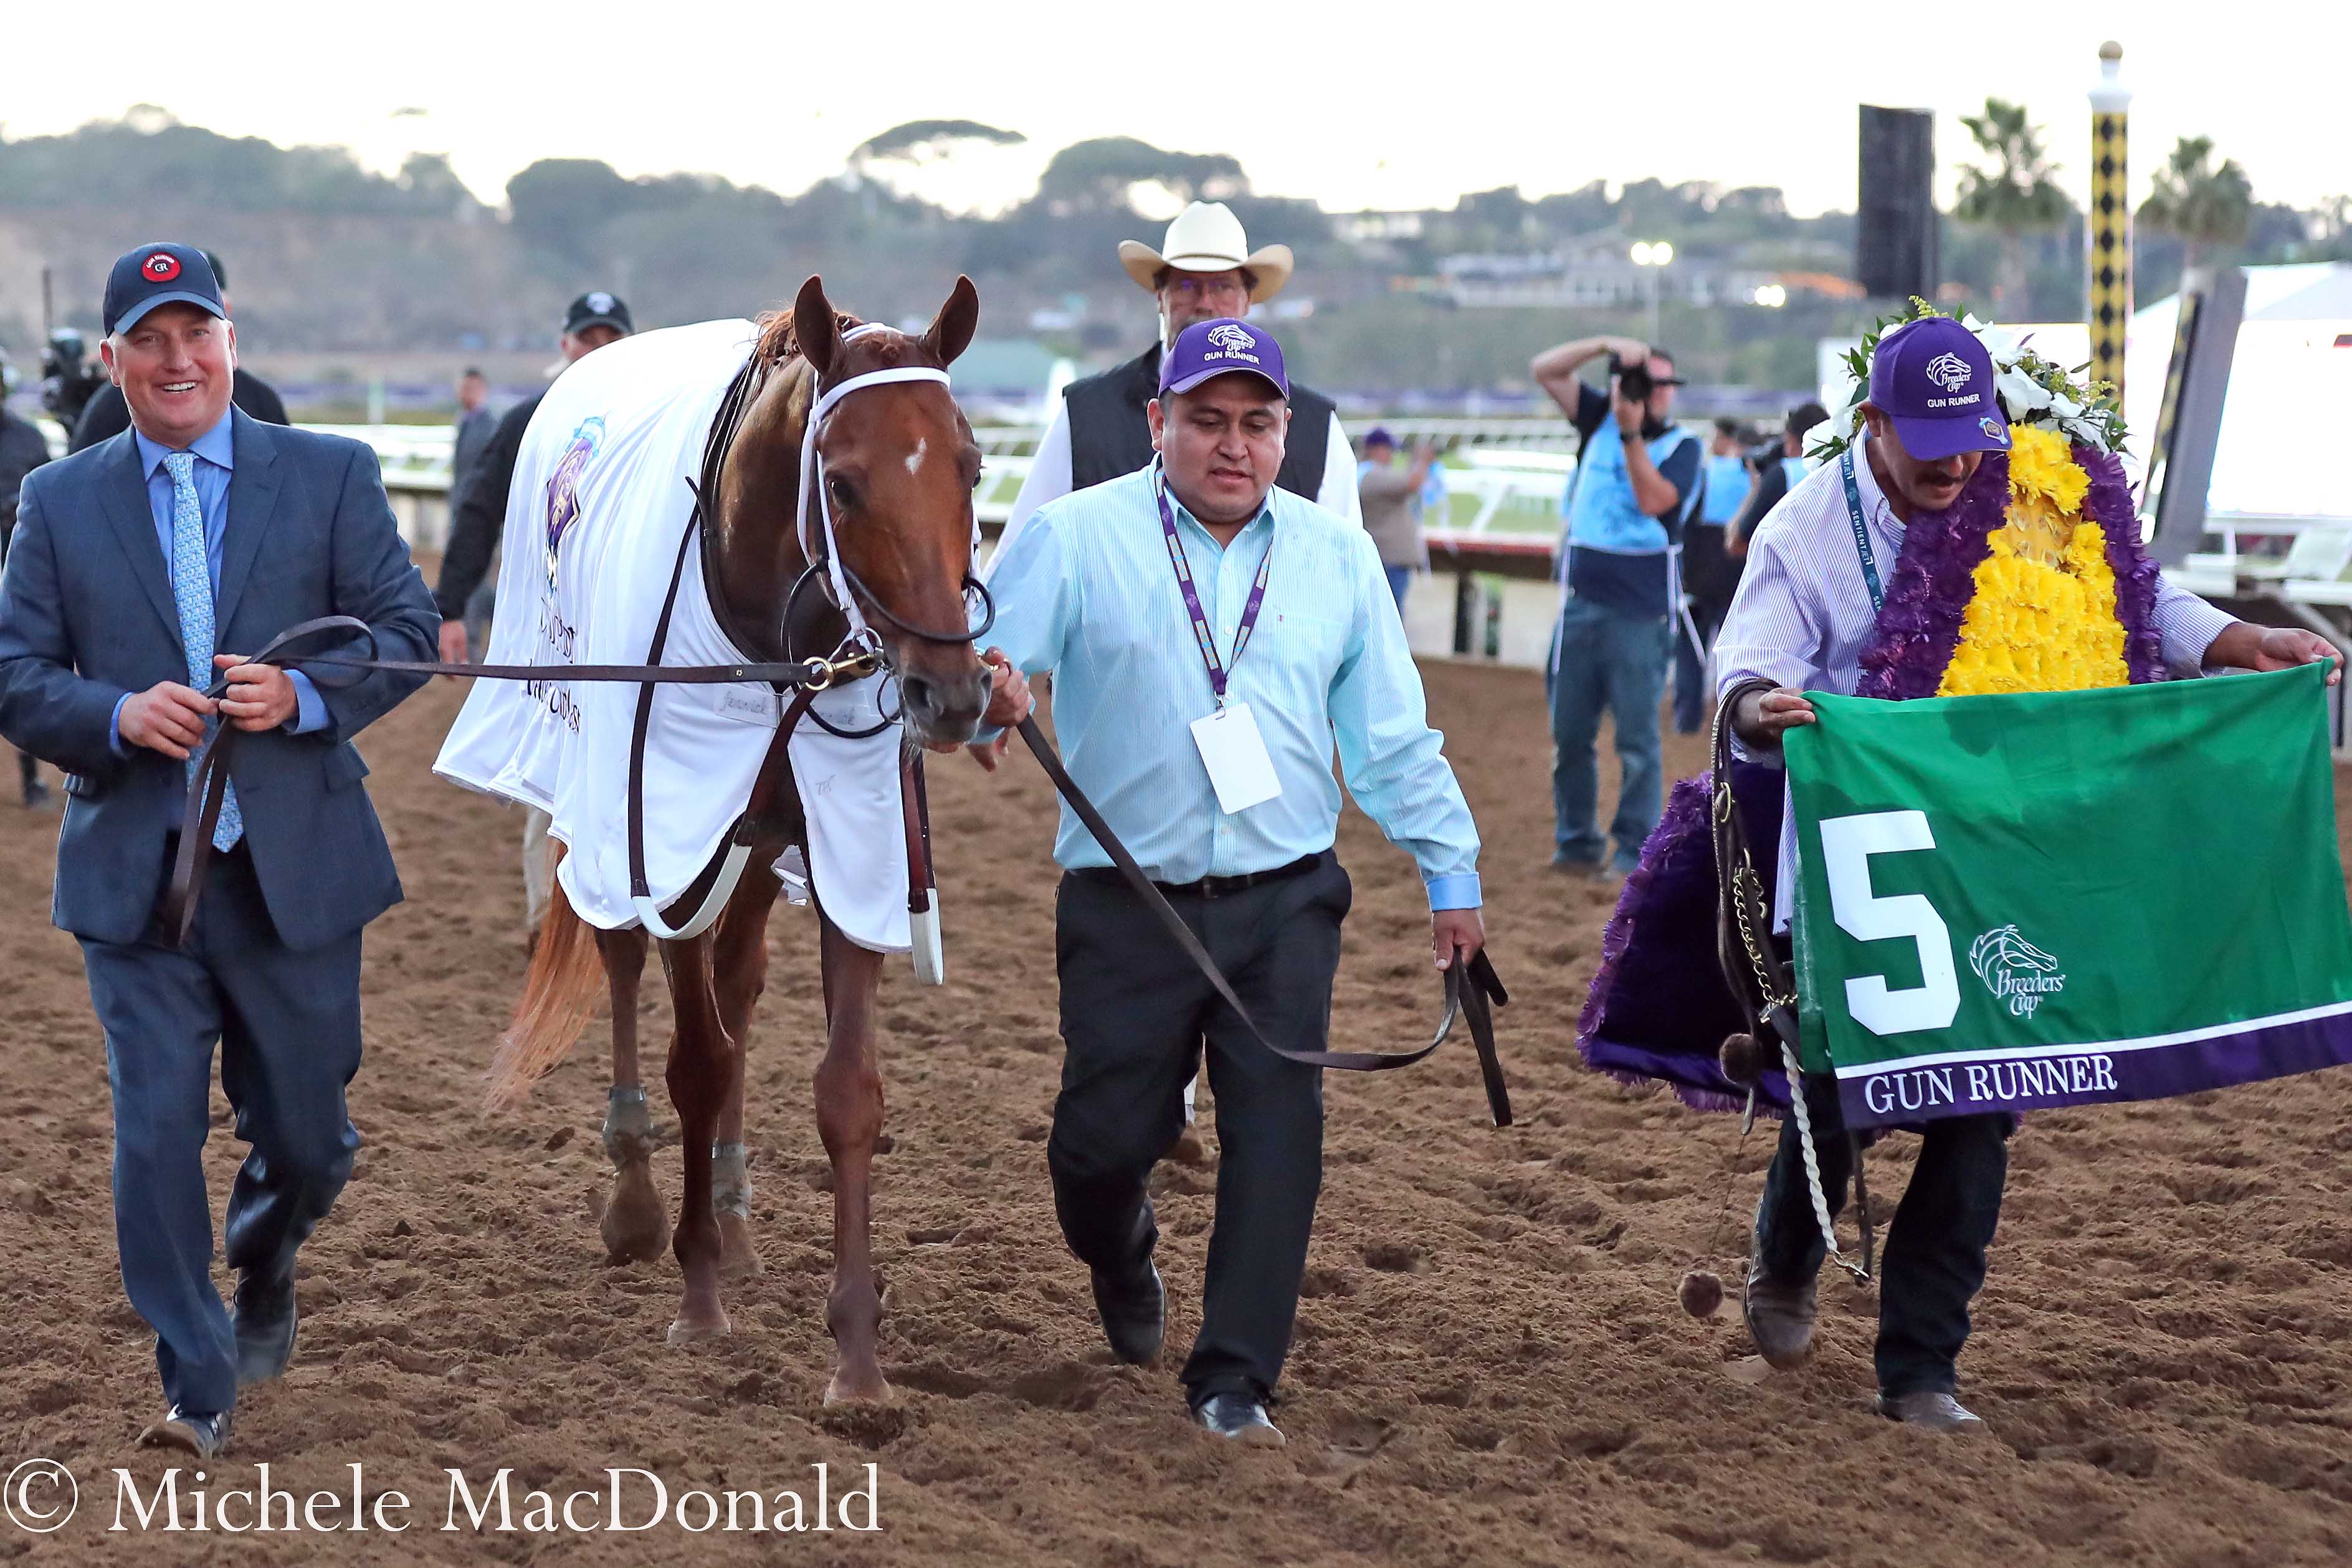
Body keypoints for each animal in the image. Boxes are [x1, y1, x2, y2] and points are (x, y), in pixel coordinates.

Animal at [491, 276, 988, 1401]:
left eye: (973, 467)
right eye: (840, 484)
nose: (950, 692)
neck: (775, 648)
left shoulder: (843, 840)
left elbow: (847, 1088)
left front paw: (858, 1359)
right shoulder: (670, 840)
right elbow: (698, 1061)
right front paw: (698, 1296)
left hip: (756, 850)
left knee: (742, 978)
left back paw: (731, 1205)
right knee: (626, 960)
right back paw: (639, 1194)